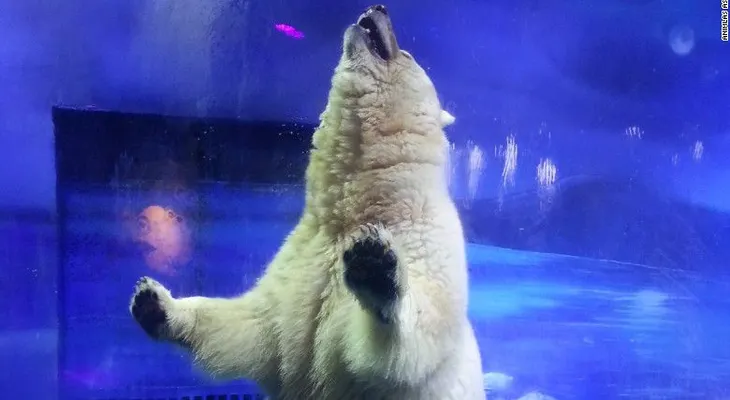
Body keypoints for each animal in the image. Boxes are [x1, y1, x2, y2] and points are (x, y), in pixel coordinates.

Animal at [129, 4, 485, 399]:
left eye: (405, 52)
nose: (378, 8)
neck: (363, 206)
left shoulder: (427, 240)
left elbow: (416, 342)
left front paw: (374, 266)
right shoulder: (302, 260)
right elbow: (253, 325)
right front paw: (154, 302)